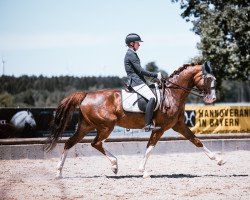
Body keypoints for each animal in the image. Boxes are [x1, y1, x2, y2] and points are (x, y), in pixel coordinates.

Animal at [45, 62, 227, 178]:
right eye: (208, 79)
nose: (212, 99)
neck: (172, 94)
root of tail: (86, 95)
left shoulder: (179, 125)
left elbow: (196, 141)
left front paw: (219, 160)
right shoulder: (160, 128)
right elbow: (150, 148)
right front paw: (143, 171)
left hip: (87, 126)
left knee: (70, 143)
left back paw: (59, 172)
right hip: (106, 126)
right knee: (95, 143)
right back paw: (114, 164)